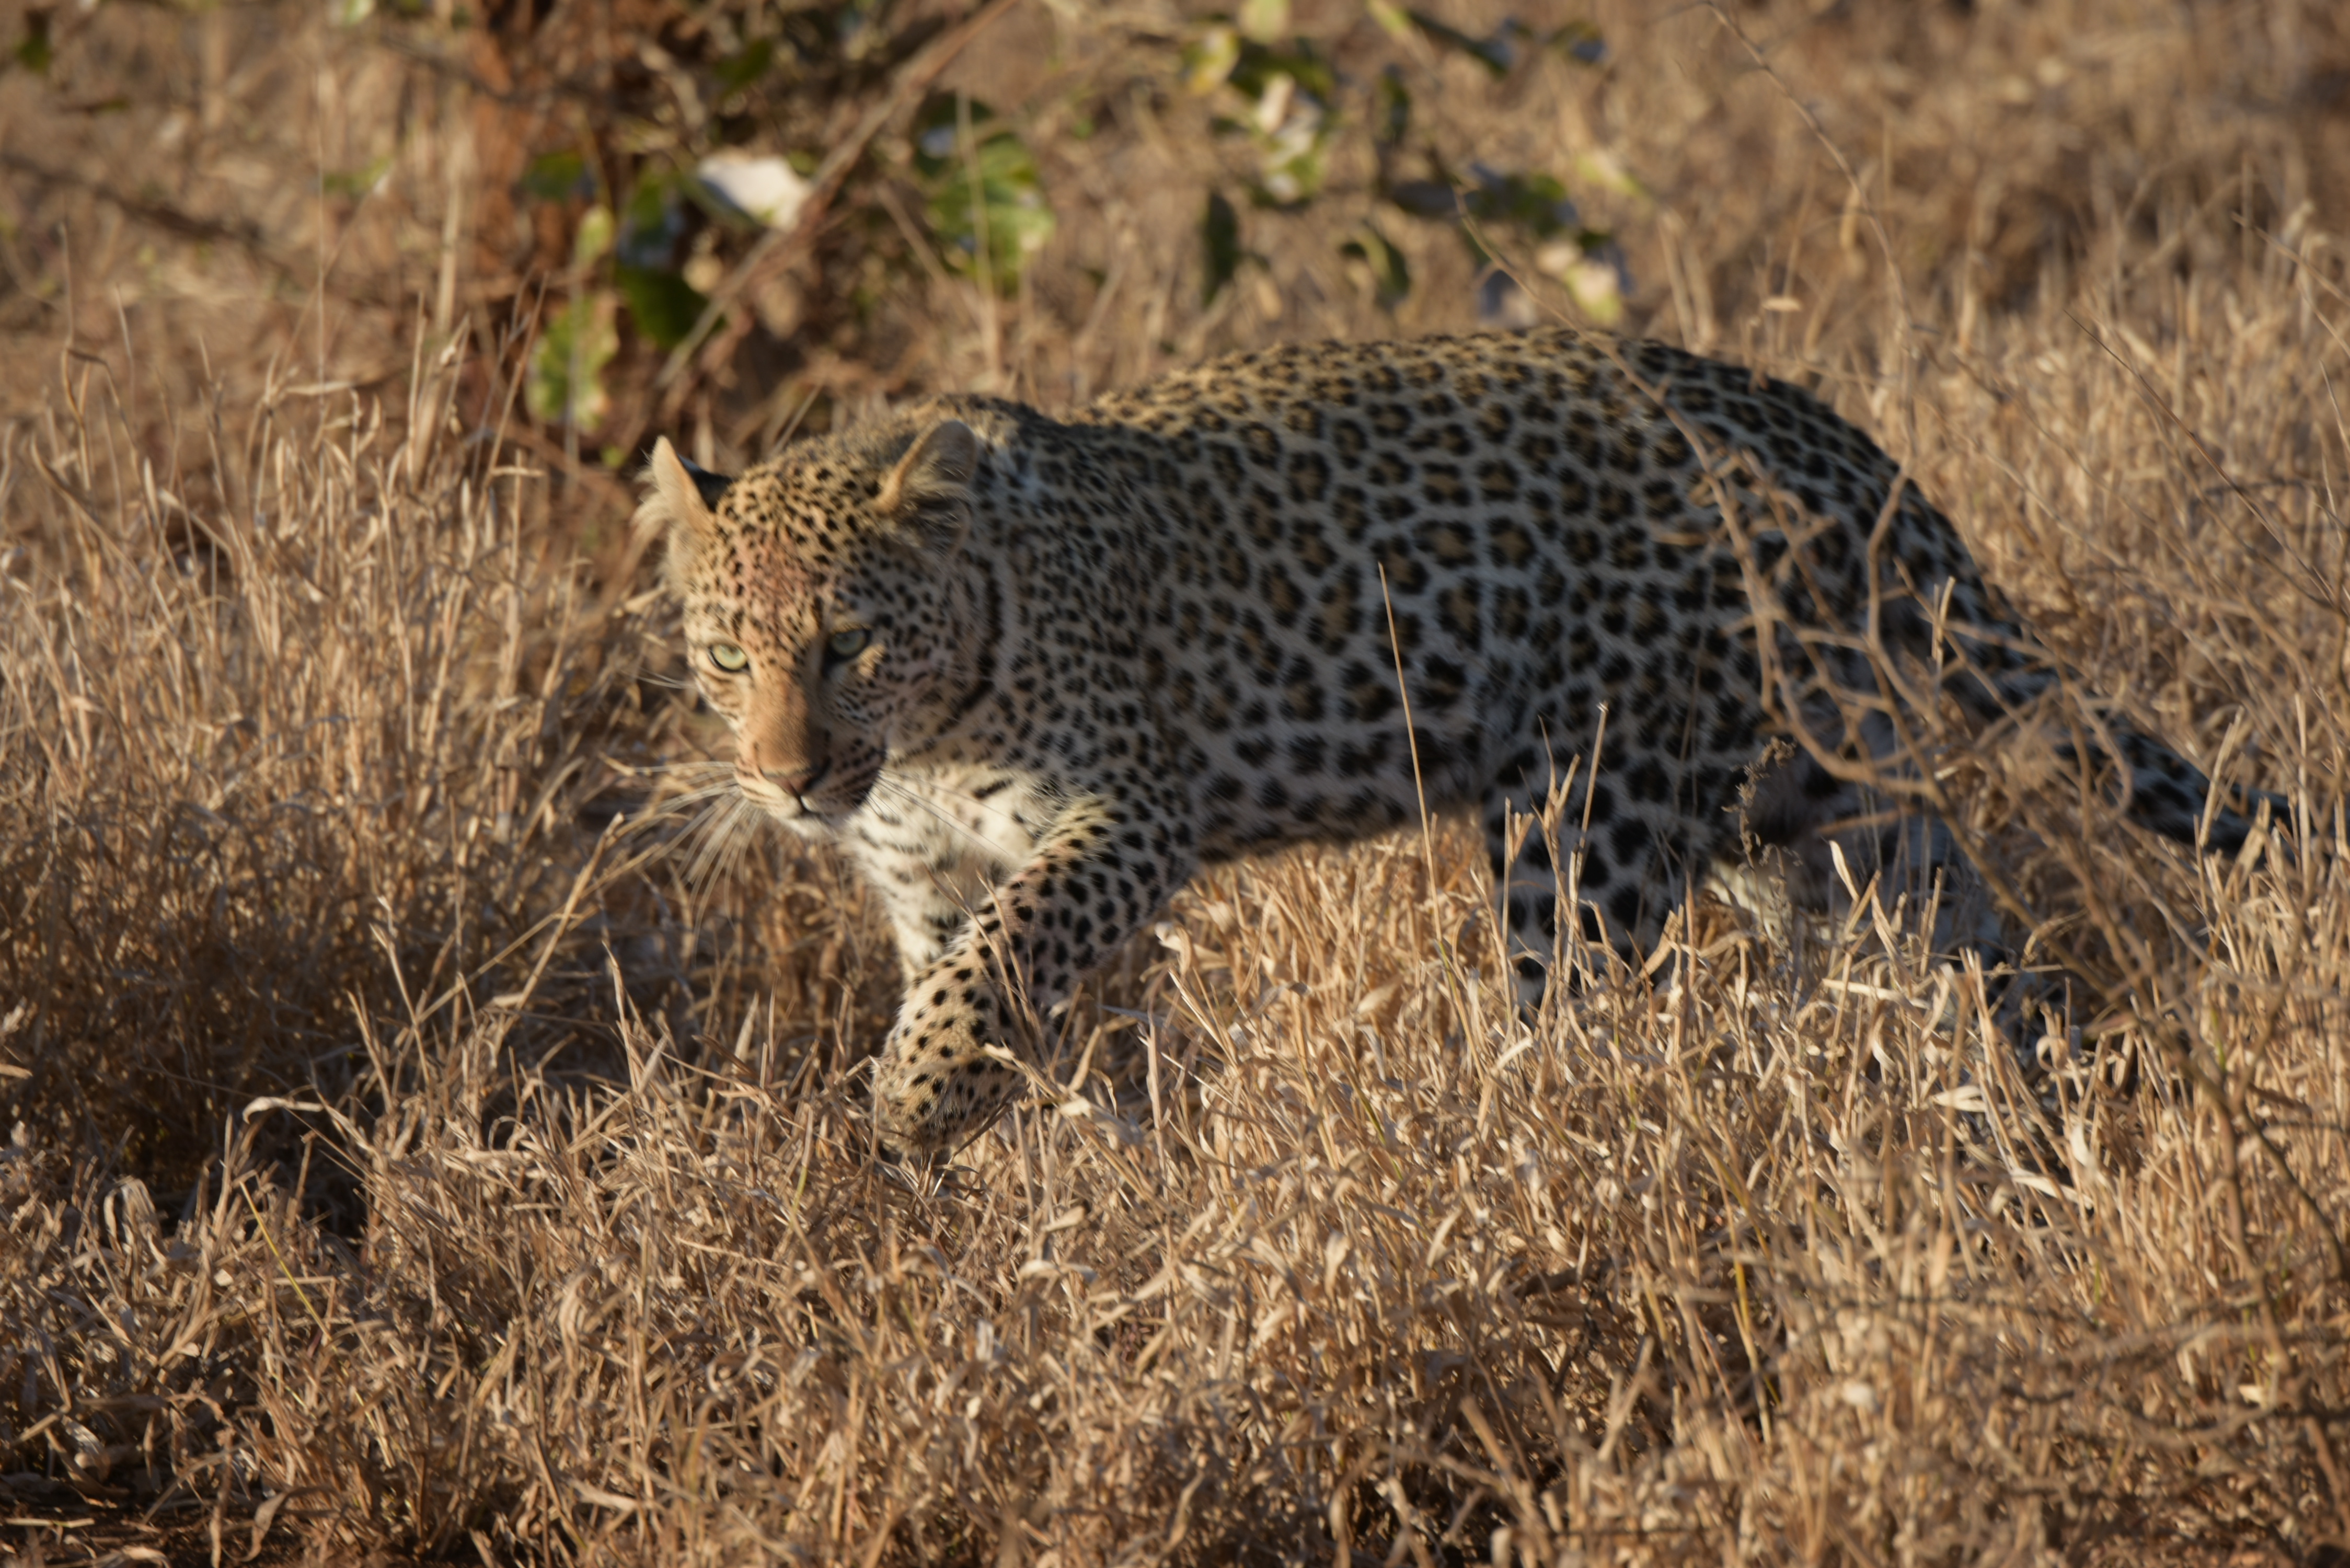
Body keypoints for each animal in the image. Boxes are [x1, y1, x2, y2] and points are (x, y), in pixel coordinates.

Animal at [639, 324, 2275, 1161]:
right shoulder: (918, 876)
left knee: (1583, 1009)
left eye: (850, 645)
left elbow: (1017, 939)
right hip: (1807, 794)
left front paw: (919, 1093)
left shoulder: (1123, 812)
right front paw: (1006, 1138)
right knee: (1970, 941)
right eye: (727, 658)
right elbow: (970, 969)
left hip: (1590, 810)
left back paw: (1508, 1141)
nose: (786, 781)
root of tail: (1804, 421)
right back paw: (2043, 1120)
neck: (920, 738)